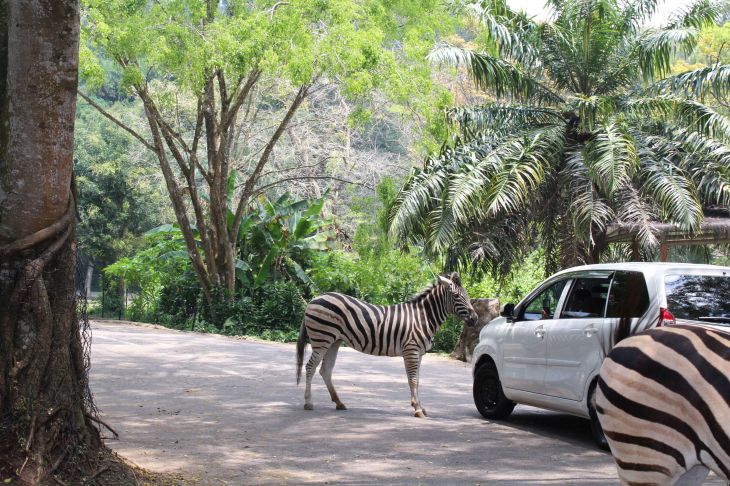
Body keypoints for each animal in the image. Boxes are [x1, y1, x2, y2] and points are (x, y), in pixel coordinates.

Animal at [296, 272, 478, 416]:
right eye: (457, 296)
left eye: (467, 294)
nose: (475, 318)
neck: (423, 317)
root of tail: (314, 299)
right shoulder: (411, 350)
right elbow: (412, 380)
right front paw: (418, 409)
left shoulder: (419, 353)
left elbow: (418, 380)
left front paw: (420, 406)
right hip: (322, 339)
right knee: (310, 367)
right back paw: (308, 403)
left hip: (334, 341)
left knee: (325, 370)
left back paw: (339, 403)